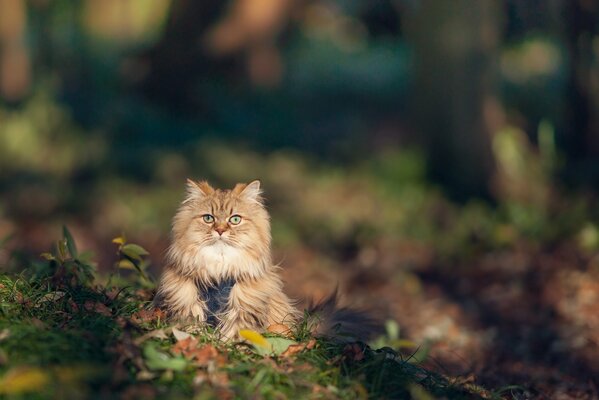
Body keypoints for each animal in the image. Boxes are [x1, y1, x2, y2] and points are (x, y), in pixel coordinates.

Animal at [157, 180, 378, 340]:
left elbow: (237, 331)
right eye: (208, 218)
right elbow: (192, 324)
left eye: (235, 220)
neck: (219, 269)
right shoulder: (187, 299)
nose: (220, 230)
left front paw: (230, 346)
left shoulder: (245, 305)